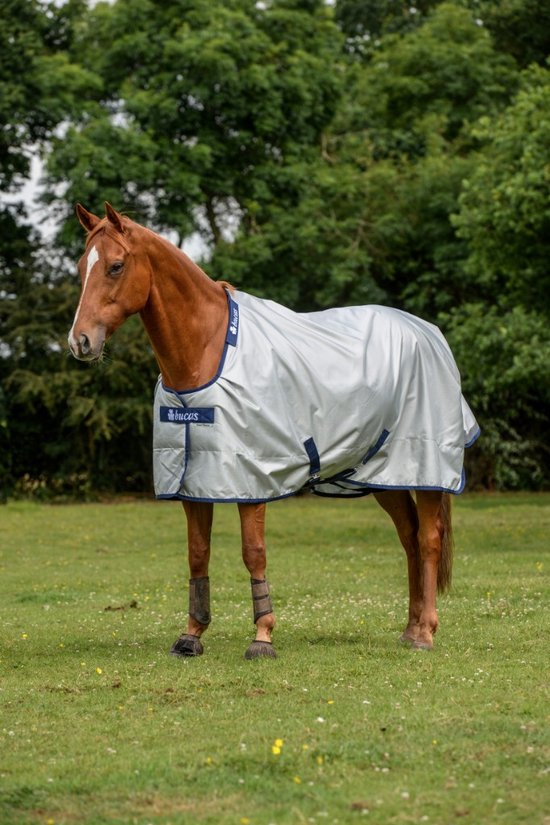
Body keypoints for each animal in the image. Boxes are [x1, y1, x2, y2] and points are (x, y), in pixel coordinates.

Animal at [68, 202, 479, 658]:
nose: (79, 341)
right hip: (383, 474)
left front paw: (262, 636)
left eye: (116, 266)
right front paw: (191, 635)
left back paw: (425, 632)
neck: (207, 350)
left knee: (428, 538)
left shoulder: (253, 479)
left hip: (426, 467)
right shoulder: (195, 481)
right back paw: (409, 630)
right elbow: (198, 554)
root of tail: (428, 333)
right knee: (408, 536)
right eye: (81, 268)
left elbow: (254, 552)